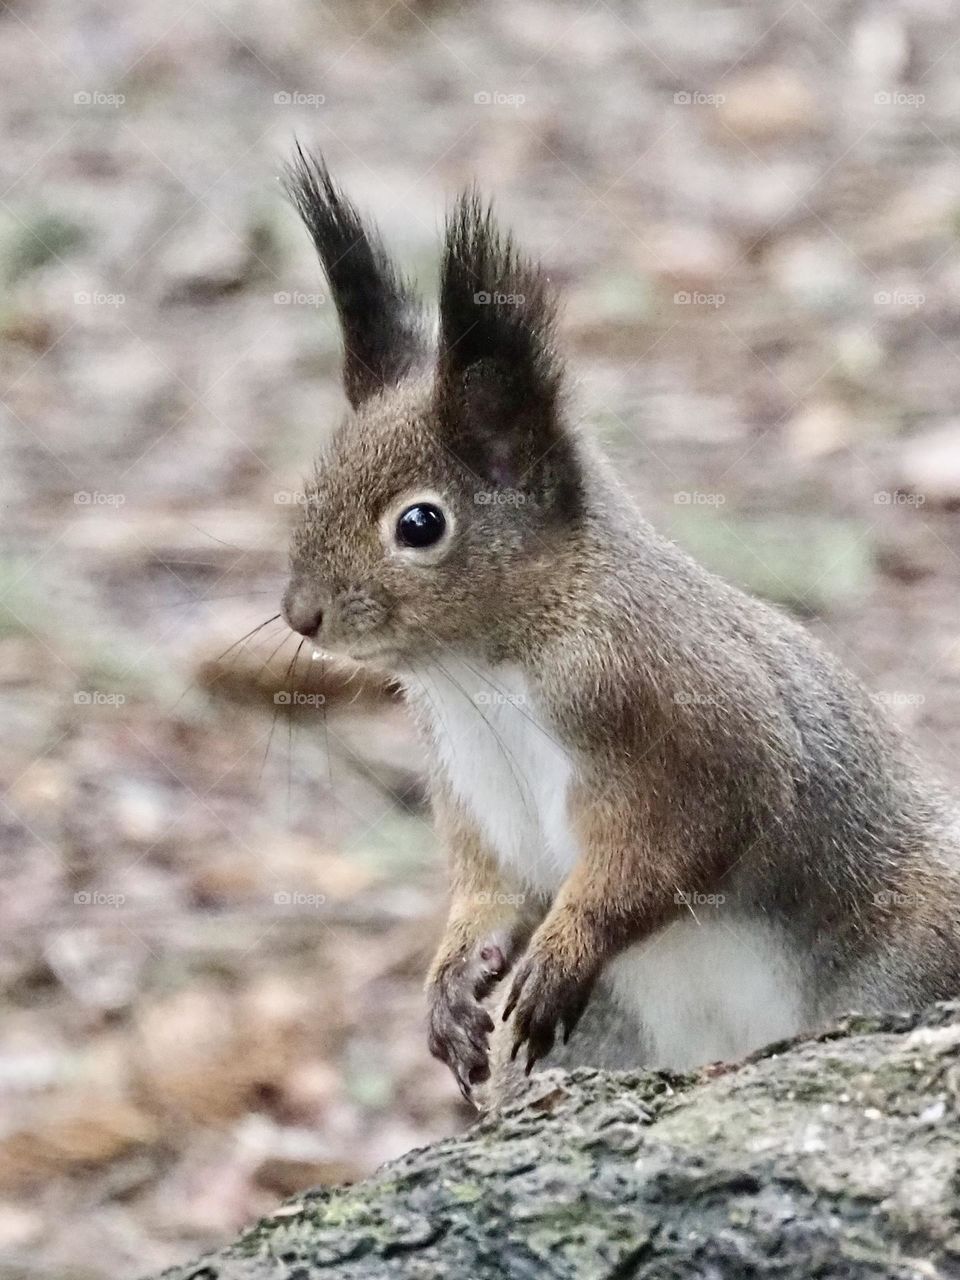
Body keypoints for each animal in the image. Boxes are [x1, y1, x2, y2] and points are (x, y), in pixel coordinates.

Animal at [280, 148, 960, 1106]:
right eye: (315, 479)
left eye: (420, 524)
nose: (300, 613)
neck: (479, 672)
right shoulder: (477, 800)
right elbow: (488, 891)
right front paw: (451, 983)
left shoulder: (686, 717)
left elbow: (679, 844)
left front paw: (565, 949)